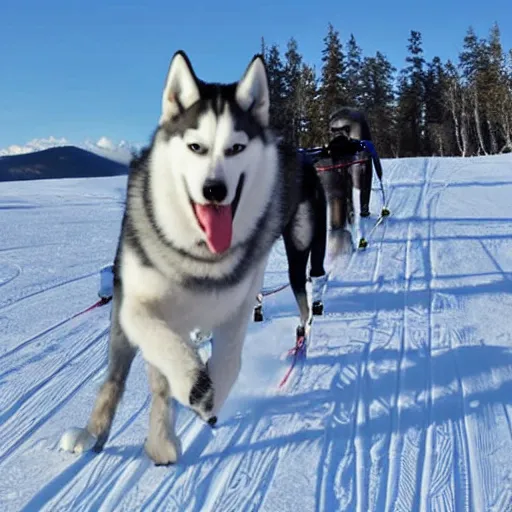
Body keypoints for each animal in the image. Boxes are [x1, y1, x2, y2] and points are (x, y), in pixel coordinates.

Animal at [60, 51, 324, 464]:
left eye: (236, 148)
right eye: (196, 147)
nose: (214, 189)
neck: (201, 258)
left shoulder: (237, 304)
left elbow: (228, 359)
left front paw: (207, 394)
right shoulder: (137, 307)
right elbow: (165, 358)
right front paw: (191, 388)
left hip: (297, 253)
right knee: (119, 377)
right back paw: (102, 433)